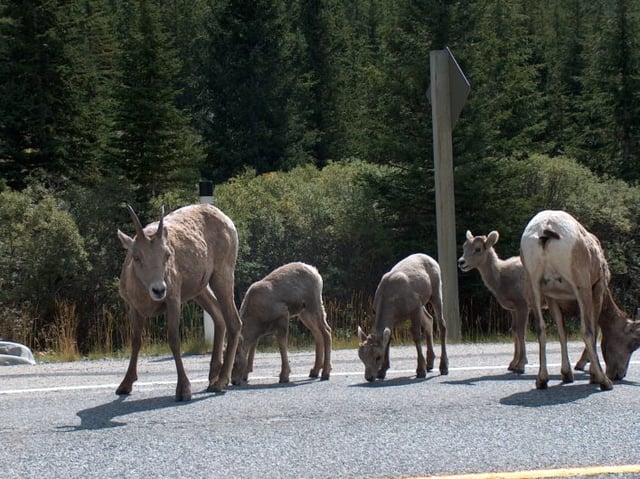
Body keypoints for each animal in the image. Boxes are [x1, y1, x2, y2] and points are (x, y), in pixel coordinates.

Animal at [116, 204, 241, 401]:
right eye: (136, 256)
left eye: (167, 255)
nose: (159, 290)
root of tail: (227, 220)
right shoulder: (135, 308)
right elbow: (136, 341)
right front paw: (124, 386)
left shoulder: (173, 300)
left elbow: (174, 340)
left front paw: (183, 390)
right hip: (200, 289)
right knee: (218, 316)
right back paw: (213, 377)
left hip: (222, 276)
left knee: (234, 321)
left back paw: (220, 382)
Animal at [357, 253, 448, 382]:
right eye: (361, 357)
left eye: (378, 357)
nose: (369, 377)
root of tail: (433, 260)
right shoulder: (393, 319)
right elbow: (388, 339)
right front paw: (382, 371)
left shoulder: (415, 308)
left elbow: (416, 336)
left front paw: (421, 370)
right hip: (423, 304)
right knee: (429, 320)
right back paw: (430, 364)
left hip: (435, 293)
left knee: (441, 325)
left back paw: (443, 367)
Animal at [520, 209, 640, 390]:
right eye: (632, 344)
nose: (619, 374)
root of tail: (547, 230)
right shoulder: (597, 288)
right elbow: (595, 329)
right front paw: (593, 376)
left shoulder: (552, 297)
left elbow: (562, 333)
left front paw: (567, 375)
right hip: (581, 285)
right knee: (587, 330)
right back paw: (604, 382)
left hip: (533, 284)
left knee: (541, 329)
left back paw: (541, 380)